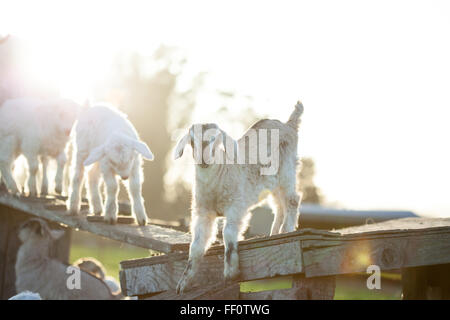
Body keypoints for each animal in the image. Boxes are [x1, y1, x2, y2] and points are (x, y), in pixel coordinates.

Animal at [174, 101, 304, 294]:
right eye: (191, 141)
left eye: (214, 140)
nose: (203, 160)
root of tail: (289, 124)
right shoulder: (203, 211)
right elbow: (196, 246)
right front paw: (184, 283)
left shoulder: (236, 205)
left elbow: (228, 233)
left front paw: (231, 272)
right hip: (272, 183)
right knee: (279, 205)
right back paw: (274, 233)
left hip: (287, 171)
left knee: (293, 199)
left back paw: (286, 230)